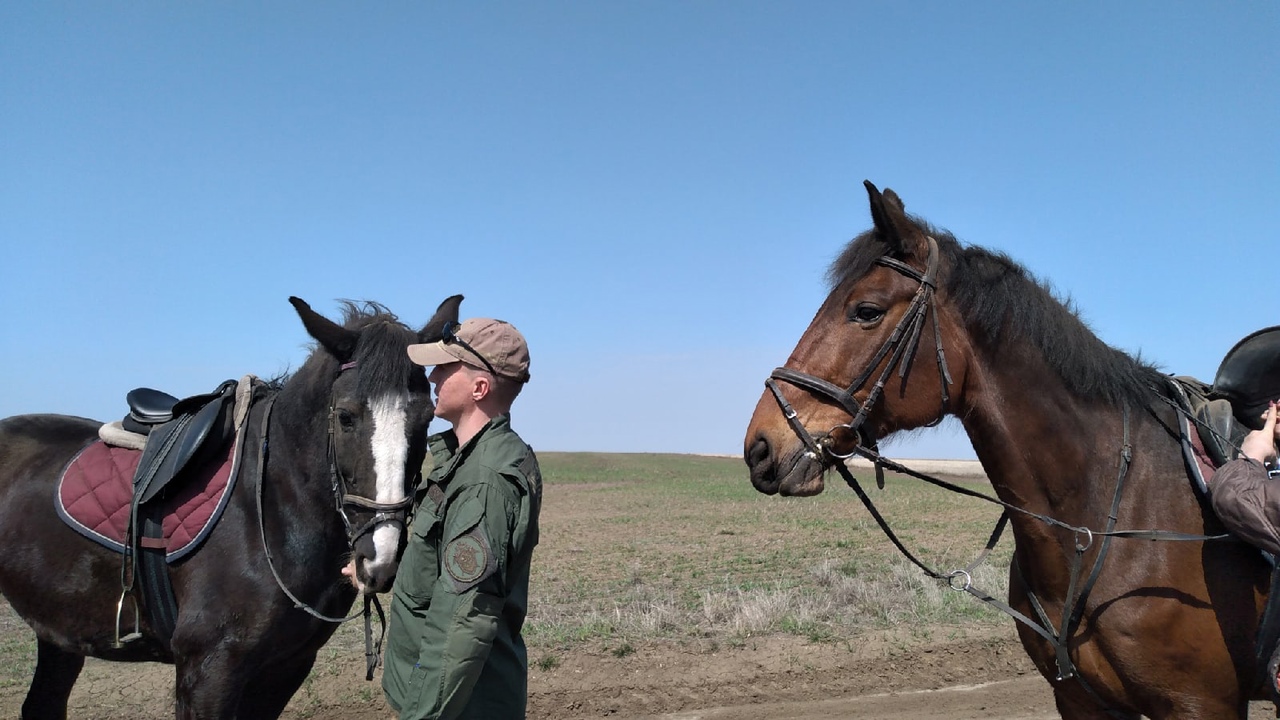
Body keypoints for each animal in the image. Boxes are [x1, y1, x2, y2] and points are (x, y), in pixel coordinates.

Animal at [0, 294, 460, 712]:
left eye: (427, 418)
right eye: (346, 416)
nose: (379, 558)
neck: (269, 511)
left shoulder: (286, 668)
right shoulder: (207, 671)